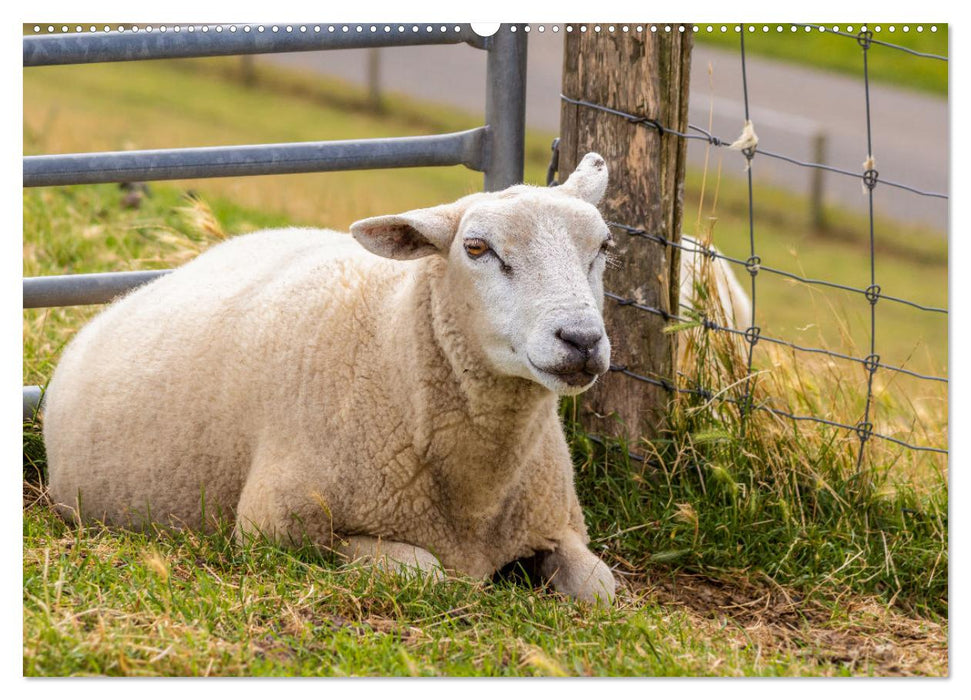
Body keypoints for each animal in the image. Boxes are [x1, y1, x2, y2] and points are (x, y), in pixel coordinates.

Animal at [41, 154, 620, 608]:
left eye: (605, 247)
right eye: (476, 248)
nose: (581, 339)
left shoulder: (556, 524)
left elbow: (603, 587)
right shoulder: (278, 530)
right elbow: (426, 574)